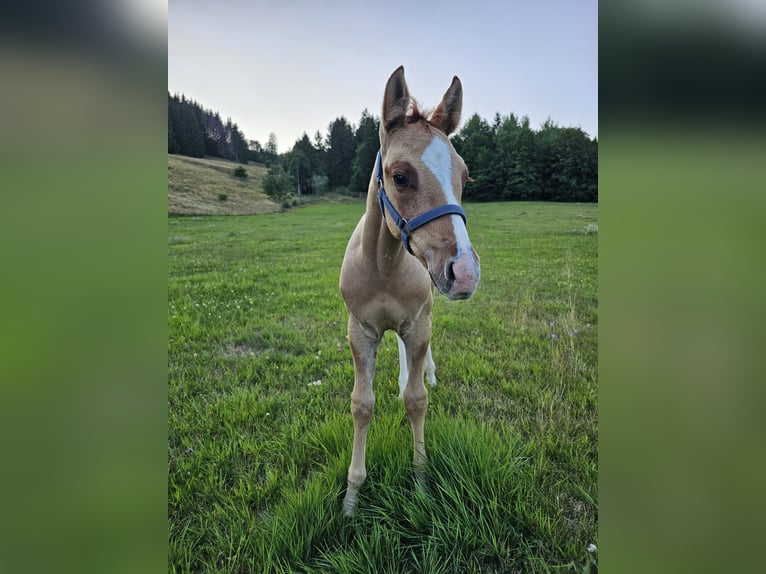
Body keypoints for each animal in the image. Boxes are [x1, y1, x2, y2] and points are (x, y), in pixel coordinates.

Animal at [340, 65, 480, 516]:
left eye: (465, 177)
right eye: (400, 177)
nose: (465, 273)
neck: (384, 266)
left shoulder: (418, 322)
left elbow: (417, 400)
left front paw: (420, 482)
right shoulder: (360, 331)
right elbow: (362, 405)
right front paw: (352, 497)